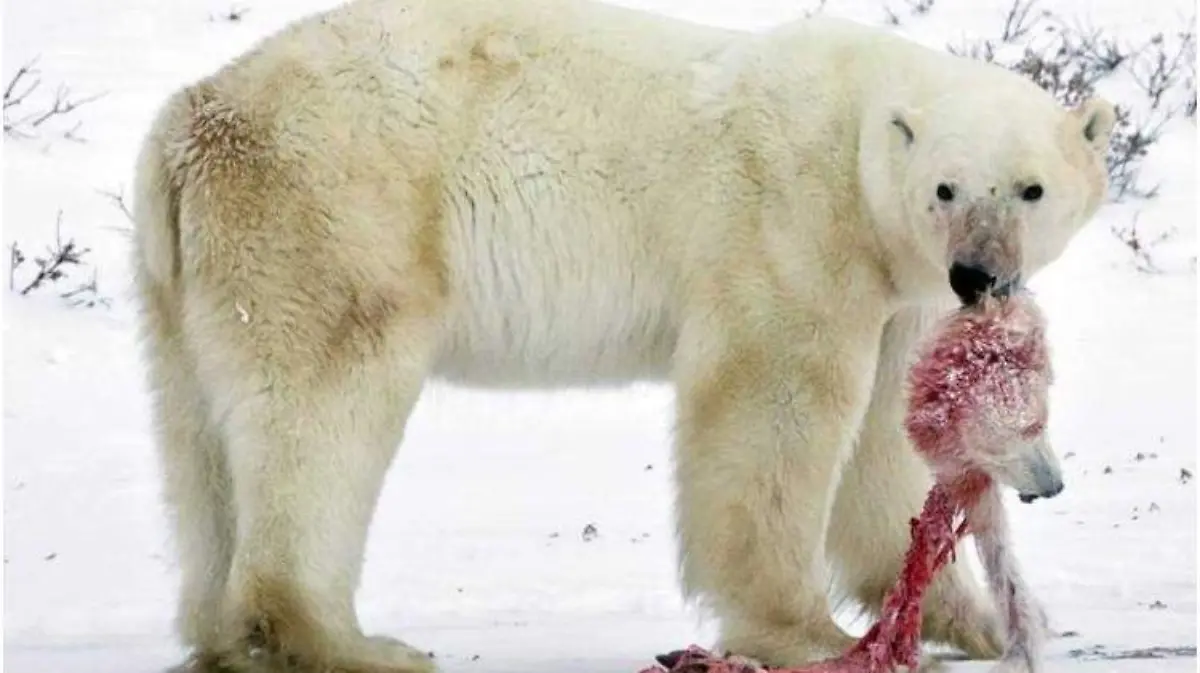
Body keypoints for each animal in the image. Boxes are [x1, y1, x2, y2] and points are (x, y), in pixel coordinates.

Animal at [131, 0, 1113, 667]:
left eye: (1030, 188)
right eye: (947, 187)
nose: (979, 274)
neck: (858, 134)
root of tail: (191, 115)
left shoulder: (897, 289)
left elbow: (884, 442)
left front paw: (976, 621)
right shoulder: (793, 222)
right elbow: (774, 402)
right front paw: (804, 631)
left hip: (189, 275)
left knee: (199, 437)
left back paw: (226, 632)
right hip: (336, 213)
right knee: (323, 409)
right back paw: (347, 641)